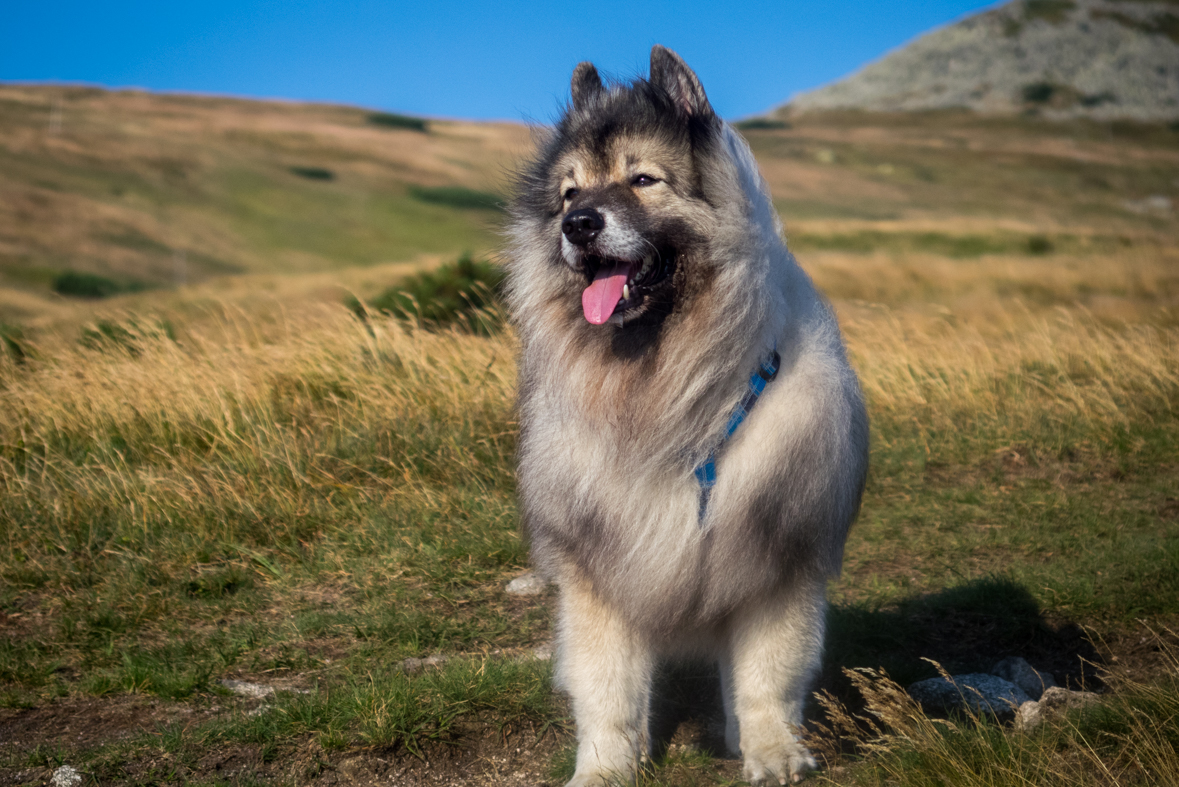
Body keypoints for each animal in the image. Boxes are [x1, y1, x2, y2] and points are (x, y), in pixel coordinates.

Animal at [502, 46, 872, 782]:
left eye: (643, 180)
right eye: (569, 193)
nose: (578, 225)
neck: (668, 399)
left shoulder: (777, 557)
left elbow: (766, 675)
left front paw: (772, 750)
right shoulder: (601, 570)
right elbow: (607, 686)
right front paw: (605, 767)